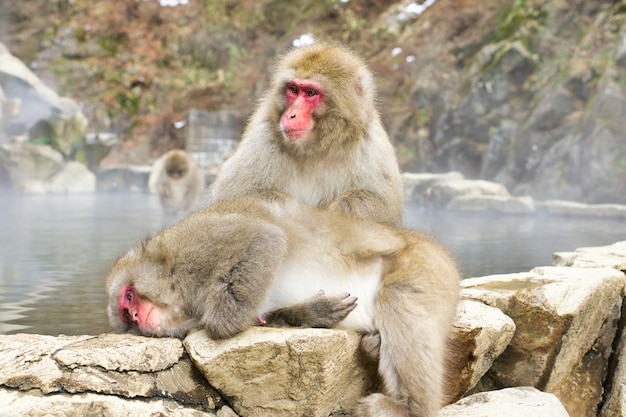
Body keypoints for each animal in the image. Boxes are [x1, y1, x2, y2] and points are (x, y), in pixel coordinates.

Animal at [106, 193, 458, 414]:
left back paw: (408, 408)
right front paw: (312, 312)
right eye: (128, 316)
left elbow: (263, 239)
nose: (136, 314)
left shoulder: (194, 246)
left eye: (129, 297)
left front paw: (220, 320)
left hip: (424, 264)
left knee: (399, 297)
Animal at [208, 44, 404, 226]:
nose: (291, 115)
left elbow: (379, 202)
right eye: (294, 90)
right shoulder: (263, 136)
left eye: (311, 93)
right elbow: (234, 195)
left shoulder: (370, 142)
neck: (315, 149)